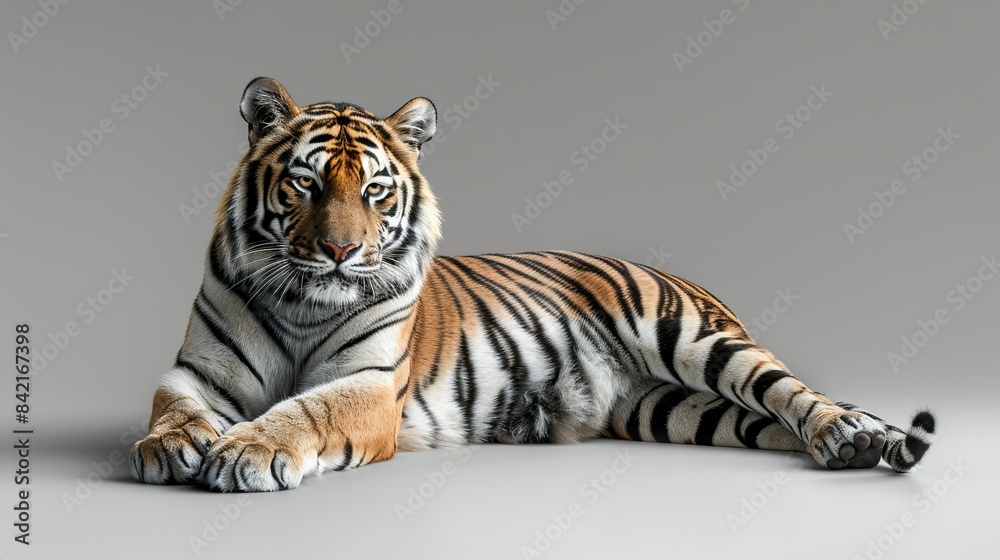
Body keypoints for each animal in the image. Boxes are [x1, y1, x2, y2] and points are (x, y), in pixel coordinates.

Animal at [130, 77, 936, 492]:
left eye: (376, 192)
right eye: (305, 184)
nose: (339, 250)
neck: (304, 303)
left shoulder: (368, 385)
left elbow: (305, 411)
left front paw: (244, 452)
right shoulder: (198, 370)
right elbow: (175, 406)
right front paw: (169, 447)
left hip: (694, 339)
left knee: (790, 392)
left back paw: (845, 434)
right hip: (674, 409)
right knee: (760, 417)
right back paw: (861, 445)